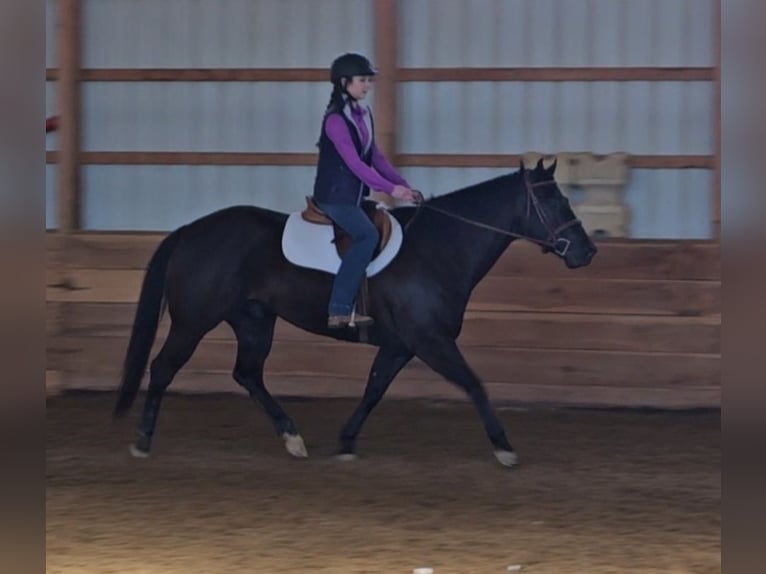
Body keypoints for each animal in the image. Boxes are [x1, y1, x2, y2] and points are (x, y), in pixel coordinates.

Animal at [112, 157, 597, 468]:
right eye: (555, 202)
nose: (587, 252)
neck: (437, 249)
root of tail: (190, 230)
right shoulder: (431, 341)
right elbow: (474, 385)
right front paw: (504, 447)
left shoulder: (401, 345)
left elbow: (373, 390)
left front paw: (346, 441)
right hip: (194, 321)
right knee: (163, 368)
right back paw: (141, 440)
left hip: (253, 321)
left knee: (247, 374)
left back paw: (292, 438)